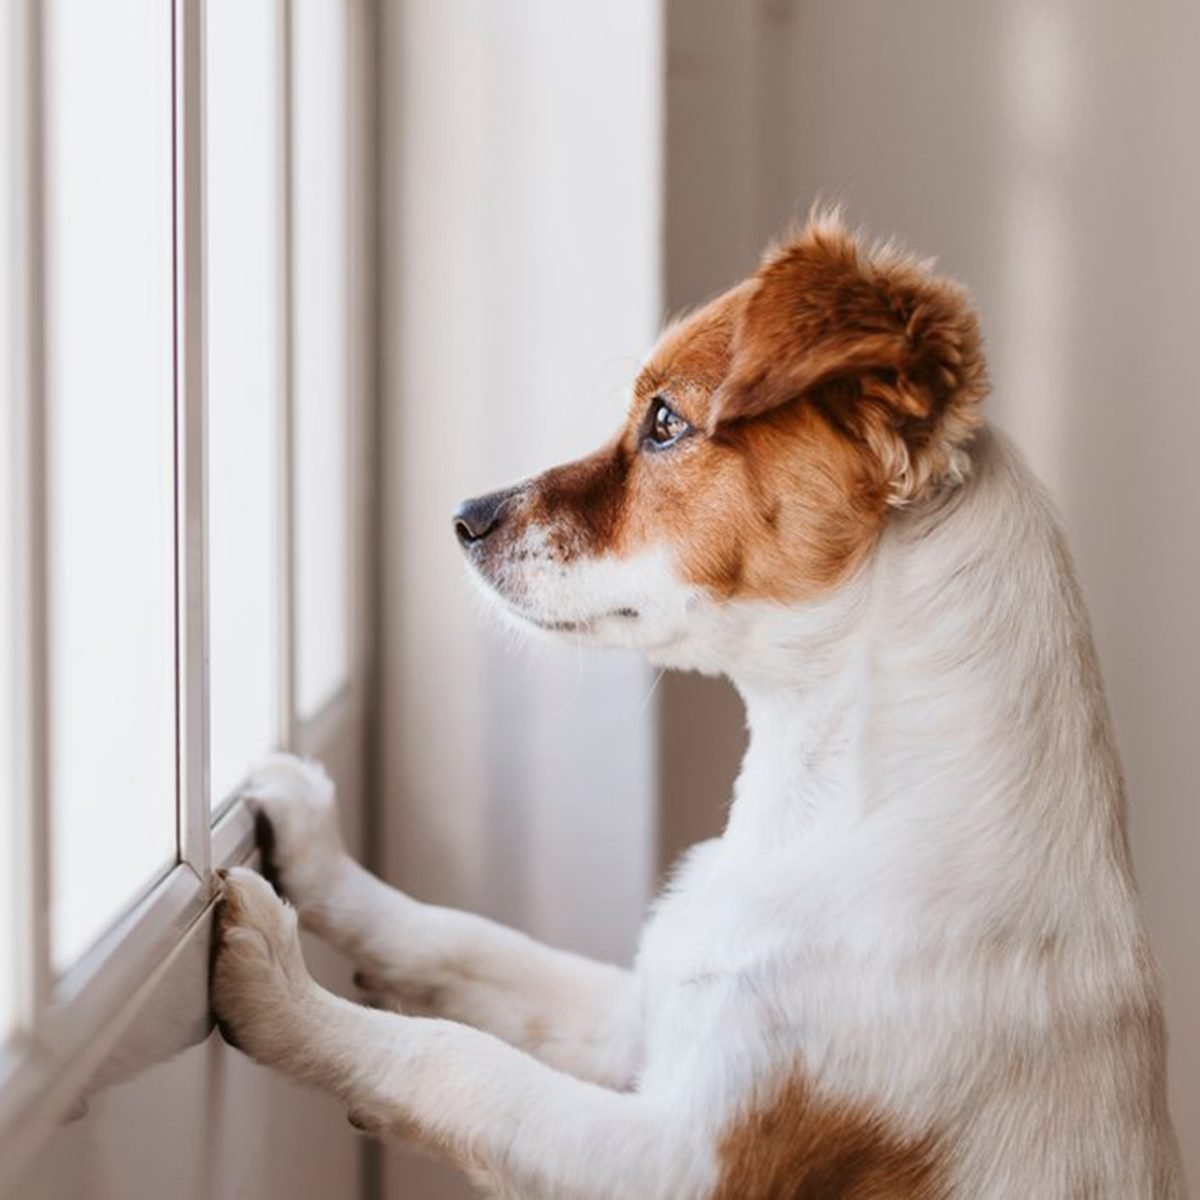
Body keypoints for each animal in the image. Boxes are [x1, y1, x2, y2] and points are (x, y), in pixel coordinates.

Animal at [211, 216, 1185, 1200]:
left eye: (666, 423)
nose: (463, 516)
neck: (821, 811)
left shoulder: (682, 1160)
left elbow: (457, 1062)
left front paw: (282, 992)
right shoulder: (639, 1018)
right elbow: (460, 942)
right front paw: (317, 852)